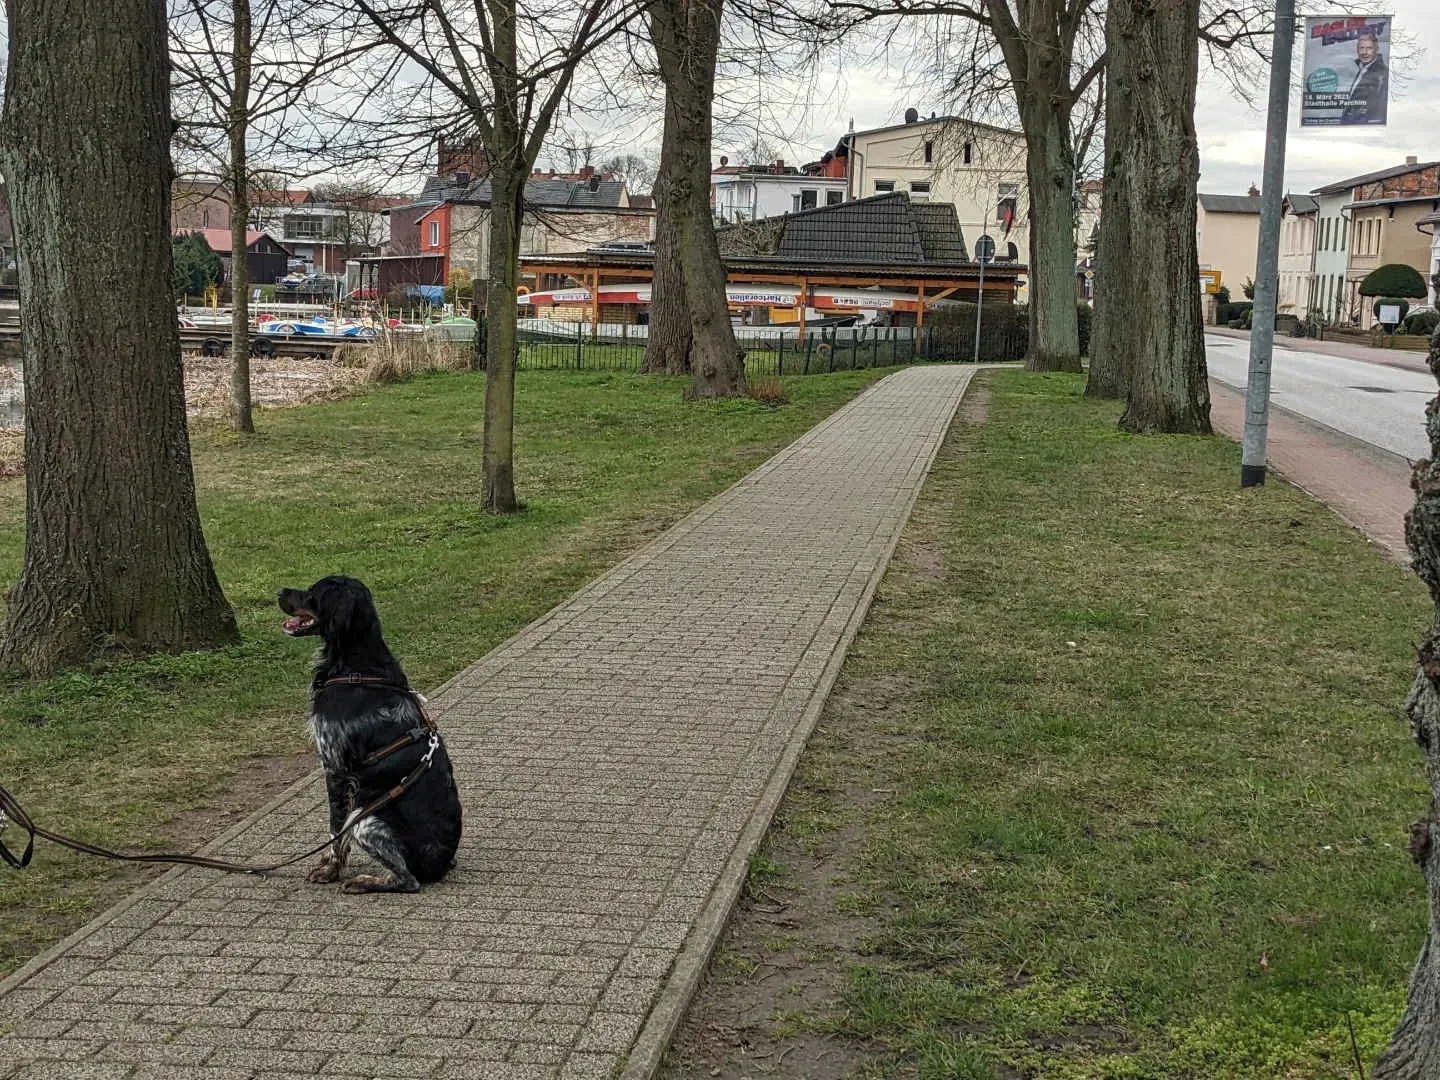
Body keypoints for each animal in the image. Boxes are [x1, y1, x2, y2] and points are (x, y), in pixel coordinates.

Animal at [276, 576, 460, 898]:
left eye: (312, 593)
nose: (279, 592)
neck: (357, 666)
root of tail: (441, 864)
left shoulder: (336, 769)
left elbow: (336, 829)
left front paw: (331, 870)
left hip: (367, 819)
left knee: (408, 880)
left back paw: (363, 882)